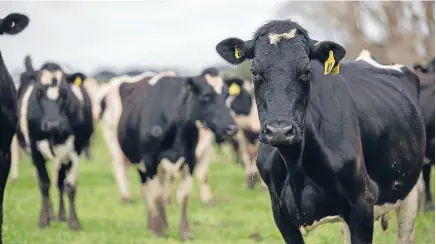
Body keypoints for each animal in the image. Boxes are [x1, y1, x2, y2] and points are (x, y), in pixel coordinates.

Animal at [16, 58, 93, 229]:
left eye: (64, 93)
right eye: (38, 92)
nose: (53, 123)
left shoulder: (76, 150)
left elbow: (69, 186)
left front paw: (73, 222)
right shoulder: (35, 149)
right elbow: (44, 183)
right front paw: (43, 221)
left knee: (59, 183)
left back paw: (61, 215)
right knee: (41, 182)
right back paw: (50, 214)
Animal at [99, 67, 238, 240]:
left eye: (227, 96)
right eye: (206, 95)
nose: (232, 128)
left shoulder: (190, 159)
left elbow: (183, 195)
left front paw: (185, 232)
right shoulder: (150, 160)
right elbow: (157, 195)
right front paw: (158, 232)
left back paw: (159, 222)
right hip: (120, 148)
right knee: (131, 178)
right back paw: (141, 213)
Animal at [215, 21, 426, 244]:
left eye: (307, 71)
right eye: (254, 71)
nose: (280, 131)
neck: (295, 166)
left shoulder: (362, 203)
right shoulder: (281, 215)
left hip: (410, 190)